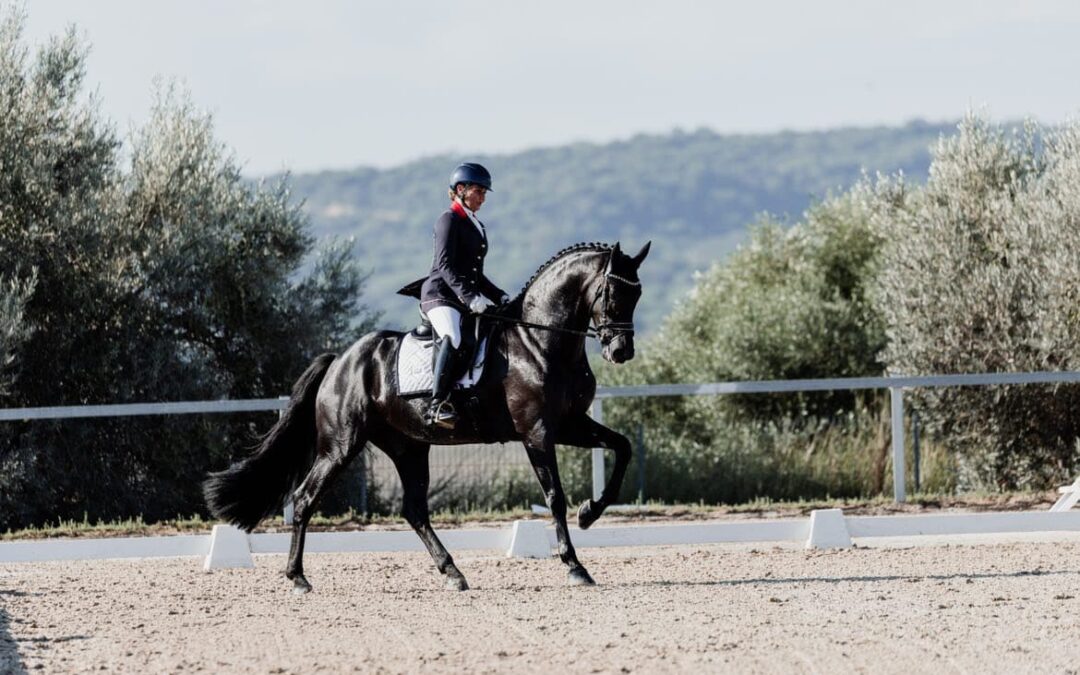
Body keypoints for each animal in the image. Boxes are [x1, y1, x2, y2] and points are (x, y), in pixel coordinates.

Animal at [207, 240, 652, 587]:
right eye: (613, 293)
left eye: (638, 294)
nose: (621, 351)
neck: (539, 341)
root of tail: (340, 361)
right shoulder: (537, 432)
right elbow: (554, 496)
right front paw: (575, 565)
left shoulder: (570, 424)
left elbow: (623, 448)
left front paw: (591, 512)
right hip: (341, 446)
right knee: (304, 498)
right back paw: (297, 576)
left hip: (408, 447)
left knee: (415, 510)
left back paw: (453, 572)